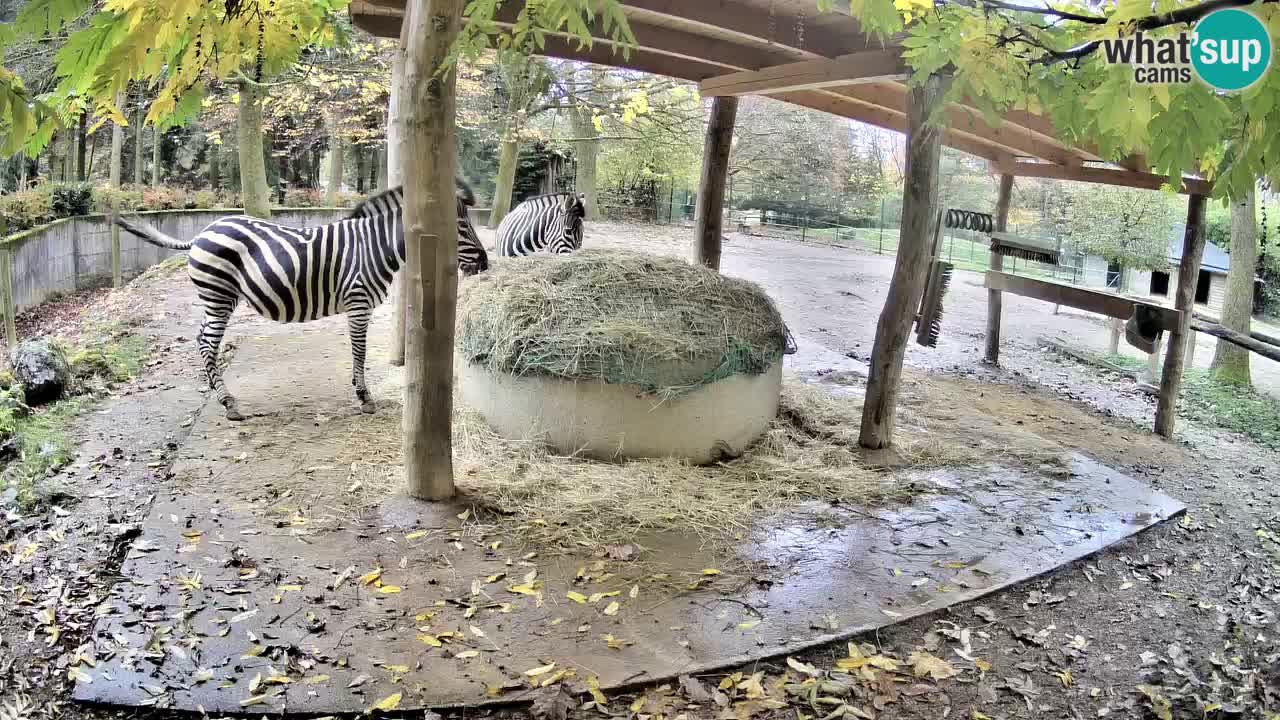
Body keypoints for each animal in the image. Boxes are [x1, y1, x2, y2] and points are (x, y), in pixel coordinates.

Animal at [112, 179, 488, 421]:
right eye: (460, 227)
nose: (486, 263)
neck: (374, 247)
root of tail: (201, 234)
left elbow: (358, 351)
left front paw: (359, 390)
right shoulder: (358, 302)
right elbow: (360, 350)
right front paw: (364, 396)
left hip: (220, 297)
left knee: (201, 337)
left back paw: (217, 391)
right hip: (218, 294)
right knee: (207, 343)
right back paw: (228, 402)